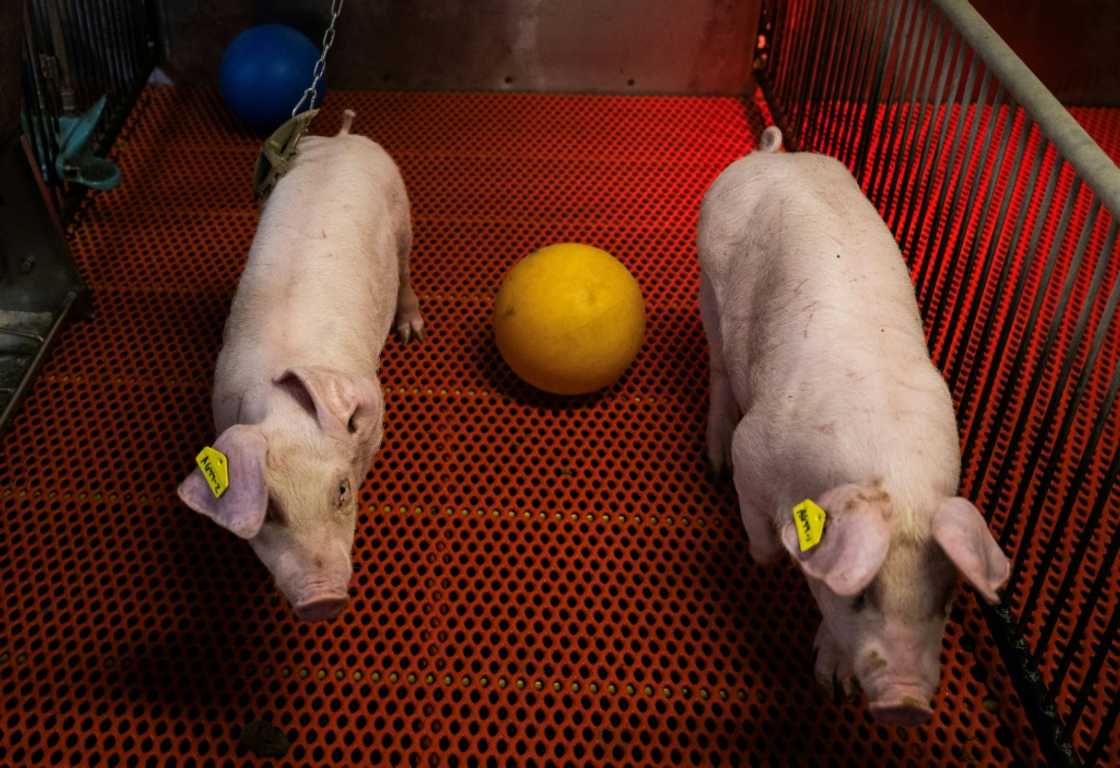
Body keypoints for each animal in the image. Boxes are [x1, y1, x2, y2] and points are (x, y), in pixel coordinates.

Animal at [176, 109, 421, 626]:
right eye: (269, 511)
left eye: (342, 490)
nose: (321, 601)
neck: (284, 407)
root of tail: (343, 138)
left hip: (401, 205)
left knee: (407, 267)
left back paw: (412, 331)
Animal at [694, 127, 1012, 729]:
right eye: (860, 596)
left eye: (947, 602)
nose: (906, 704)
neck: (896, 476)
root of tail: (771, 156)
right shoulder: (755, 450)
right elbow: (763, 536)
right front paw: (769, 558)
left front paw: (834, 686)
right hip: (708, 284)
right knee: (720, 369)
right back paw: (712, 461)